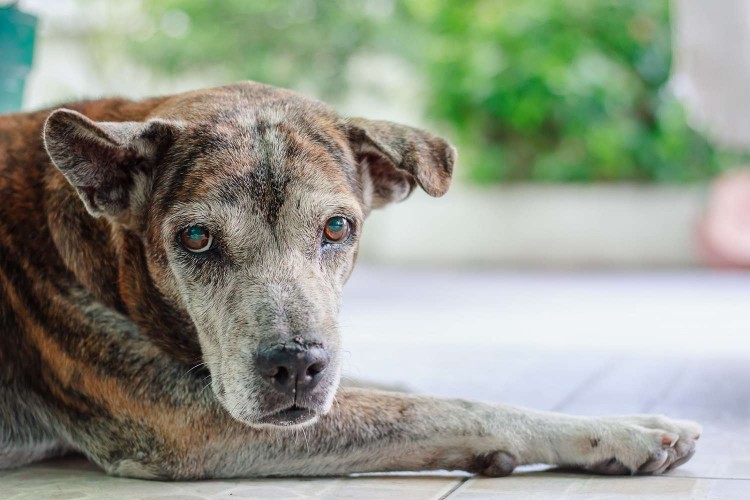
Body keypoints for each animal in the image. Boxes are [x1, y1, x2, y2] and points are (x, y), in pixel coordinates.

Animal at [1, 83, 704, 480]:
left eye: (338, 227)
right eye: (195, 238)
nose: (295, 365)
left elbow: (403, 391)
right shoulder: (193, 424)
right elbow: (441, 408)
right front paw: (623, 432)